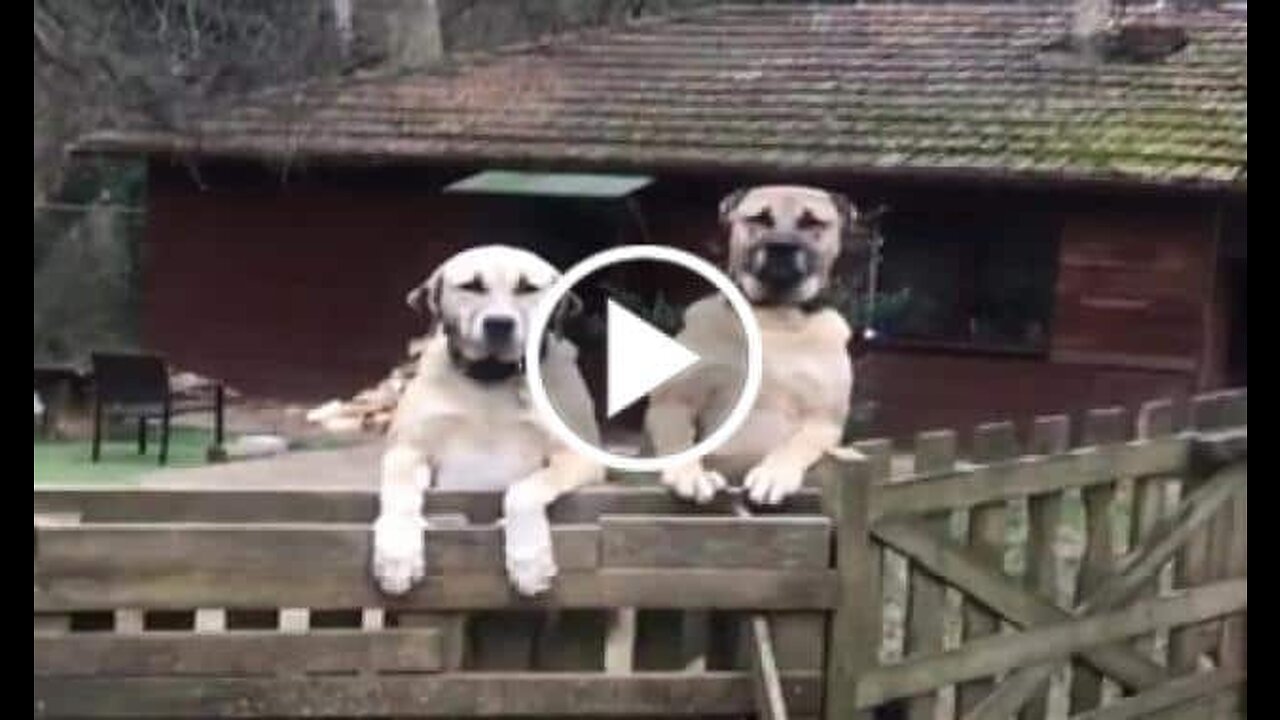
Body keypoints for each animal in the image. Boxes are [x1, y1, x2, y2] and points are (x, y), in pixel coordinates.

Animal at [373, 244, 601, 594]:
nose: (499, 324)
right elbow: (399, 493)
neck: (491, 378)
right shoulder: (407, 451)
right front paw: (397, 555)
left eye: (527, 288)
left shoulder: (579, 458)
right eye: (472, 286)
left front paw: (529, 560)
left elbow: (523, 491)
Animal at [650, 184, 860, 504]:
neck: (773, 314)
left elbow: (794, 445)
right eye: (759, 219)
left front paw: (774, 474)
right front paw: (691, 474)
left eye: (811, 222)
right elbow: (680, 441)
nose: (781, 248)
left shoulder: (823, 421)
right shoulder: (674, 400)